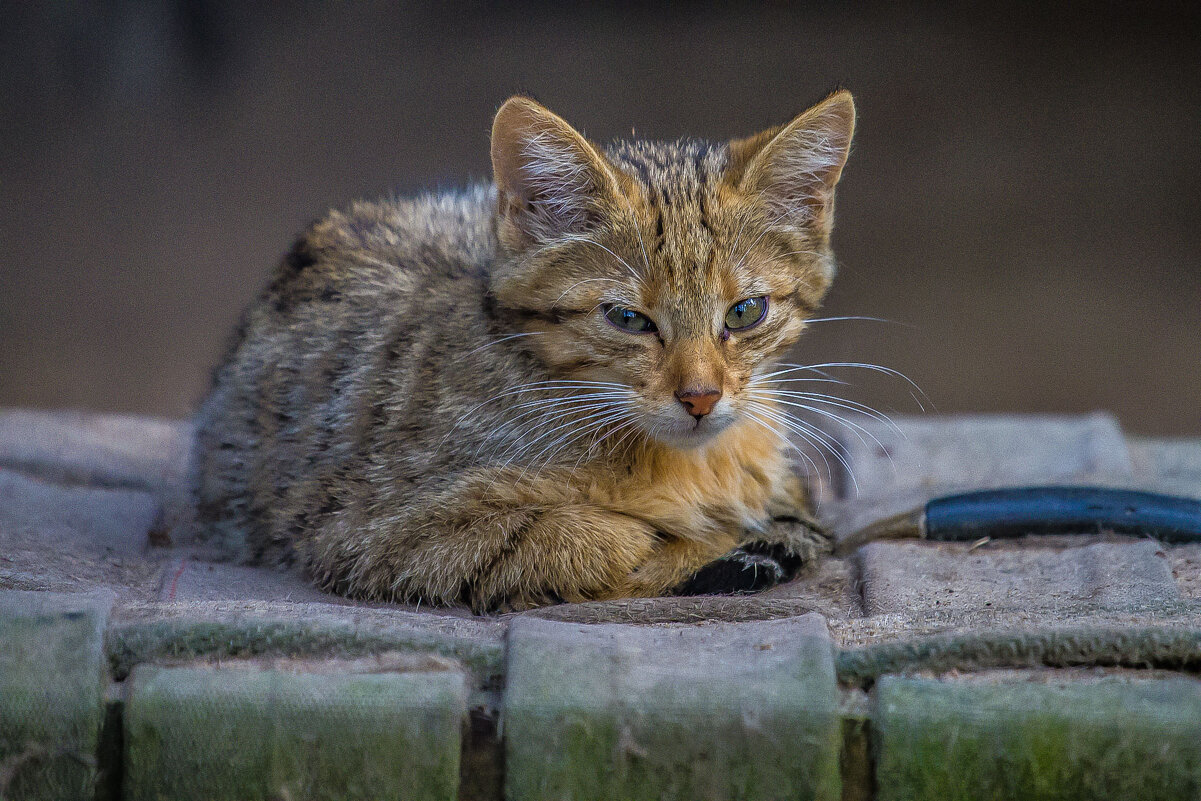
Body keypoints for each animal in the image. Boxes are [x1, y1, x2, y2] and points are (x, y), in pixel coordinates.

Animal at [192, 90, 855, 610]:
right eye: (627, 319)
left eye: (745, 312)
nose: (700, 397)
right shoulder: (367, 530)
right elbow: (601, 541)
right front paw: (692, 546)